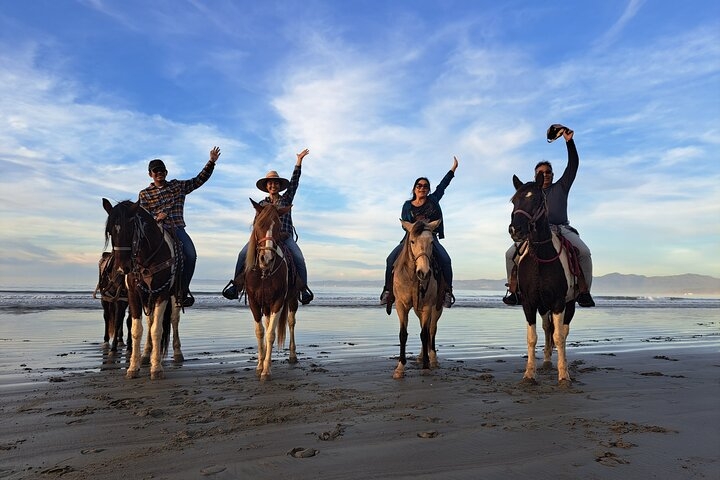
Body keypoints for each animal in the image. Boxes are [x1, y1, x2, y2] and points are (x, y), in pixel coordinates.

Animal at [102, 198, 184, 378]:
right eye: (110, 232)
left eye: (130, 230)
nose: (121, 268)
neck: (147, 259)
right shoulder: (133, 294)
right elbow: (137, 329)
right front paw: (133, 367)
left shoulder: (162, 293)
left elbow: (157, 330)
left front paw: (157, 368)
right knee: (150, 319)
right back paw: (146, 354)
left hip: (174, 295)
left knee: (174, 320)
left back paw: (177, 353)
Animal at [242, 198, 298, 378]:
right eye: (259, 224)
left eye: (279, 227)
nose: (266, 259)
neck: (263, 273)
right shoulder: (254, 301)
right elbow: (261, 332)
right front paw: (260, 365)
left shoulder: (278, 301)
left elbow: (271, 334)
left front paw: (266, 369)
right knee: (267, 324)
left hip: (292, 299)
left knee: (291, 322)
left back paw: (293, 355)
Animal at [388, 219, 444, 380]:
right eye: (412, 241)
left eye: (432, 242)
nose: (424, 273)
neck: (413, 278)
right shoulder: (401, 306)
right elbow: (403, 335)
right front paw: (400, 368)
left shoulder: (427, 307)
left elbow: (425, 334)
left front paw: (426, 367)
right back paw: (420, 356)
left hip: (436, 309)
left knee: (431, 330)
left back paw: (432, 359)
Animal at [510, 172, 576, 386]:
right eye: (514, 201)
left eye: (536, 199)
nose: (515, 229)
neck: (540, 256)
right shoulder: (529, 303)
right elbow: (533, 337)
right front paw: (529, 374)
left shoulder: (558, 302)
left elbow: (559, 336)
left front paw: (564, 375)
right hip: (543, 306)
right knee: (547, 328)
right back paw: (546, 360)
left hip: (569, 304)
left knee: (562, 331)